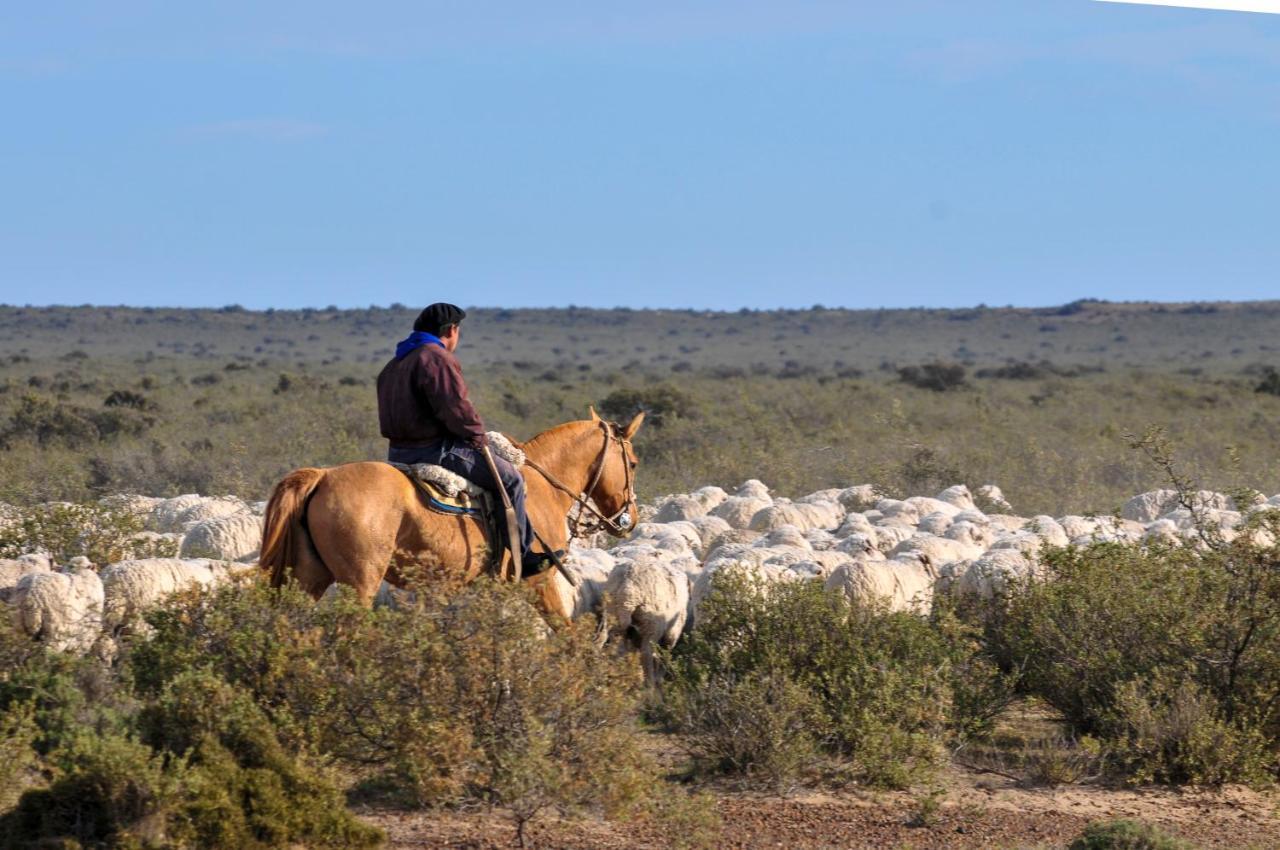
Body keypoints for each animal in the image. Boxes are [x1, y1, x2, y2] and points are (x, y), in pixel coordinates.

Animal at [256, 409, 645, 617]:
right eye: (633, 463)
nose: (630, 519)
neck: (543, 484)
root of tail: (323, 476)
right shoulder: (541, 583)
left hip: (308, 577)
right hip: (360, 582)